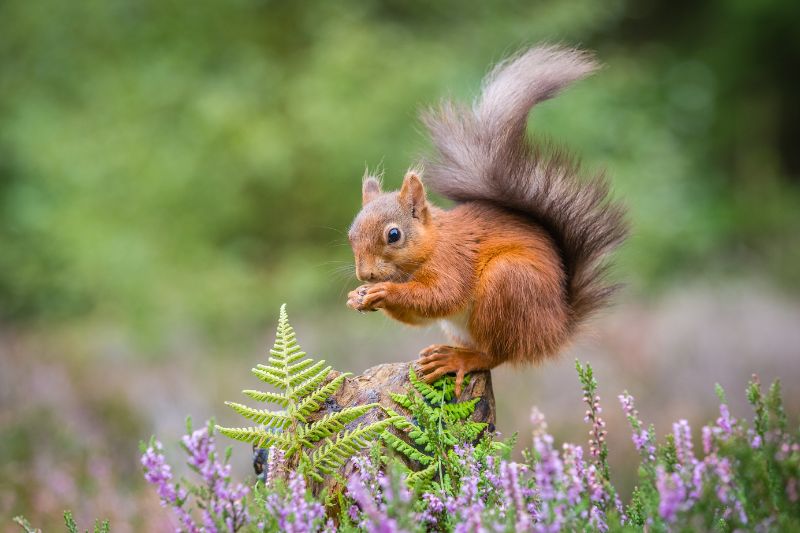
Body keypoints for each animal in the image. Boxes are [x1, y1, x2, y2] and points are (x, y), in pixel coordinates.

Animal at [346, 45, 628, 394]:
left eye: (394, 235)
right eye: (350, 236)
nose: (366, 275)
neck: (431, 244)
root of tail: (556, 330)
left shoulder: (453, 260)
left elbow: (442, 295)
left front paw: (384, 292)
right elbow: (420, 316)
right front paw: (356, 296)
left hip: (507, 285)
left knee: (496, 355)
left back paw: (460, 359)